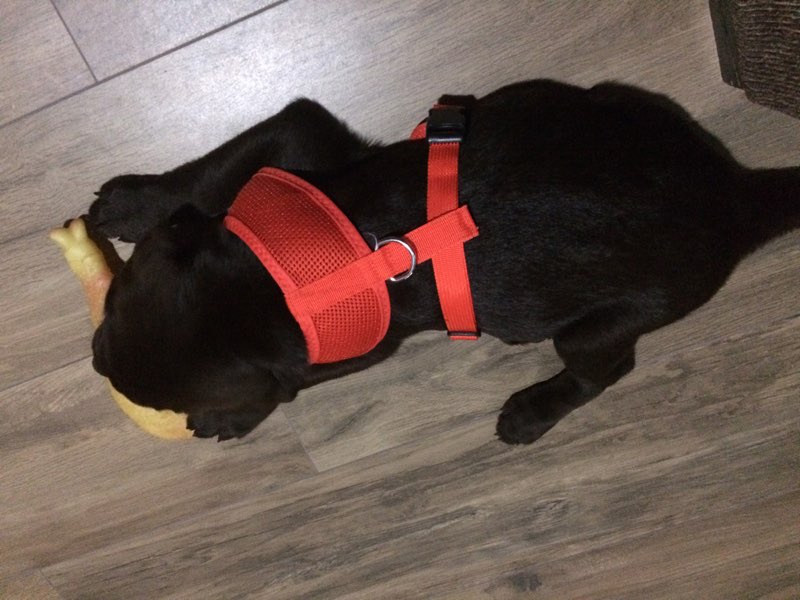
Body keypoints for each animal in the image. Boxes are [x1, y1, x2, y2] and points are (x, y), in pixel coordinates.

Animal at [87, 80, 800, 444]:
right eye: (113, 303)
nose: (94, 358)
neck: (288, 275)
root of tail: (738, 192)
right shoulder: (296, 138)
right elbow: (208, 174)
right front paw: (134, 203)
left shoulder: (357, 348)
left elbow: (284, 388)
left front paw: (227, 418)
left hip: (601, 324)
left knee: (606, 367)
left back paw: (534, 411)